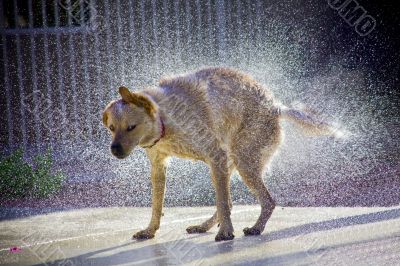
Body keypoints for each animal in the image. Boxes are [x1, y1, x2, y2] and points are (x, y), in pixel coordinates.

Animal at [101, 66, 342, 241]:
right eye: (112, 128)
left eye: (131, 127)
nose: (114, 149)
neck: (164, 119)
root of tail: (276, 107)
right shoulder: (159, 167)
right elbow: (156, 206)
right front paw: (150, 230)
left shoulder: (215, 155)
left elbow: (223, 204)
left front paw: (226, 232)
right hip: (228, 164)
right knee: (231, 202)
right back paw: (204, 226)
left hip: (242, 163)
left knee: (267, 201)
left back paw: (255, 228)